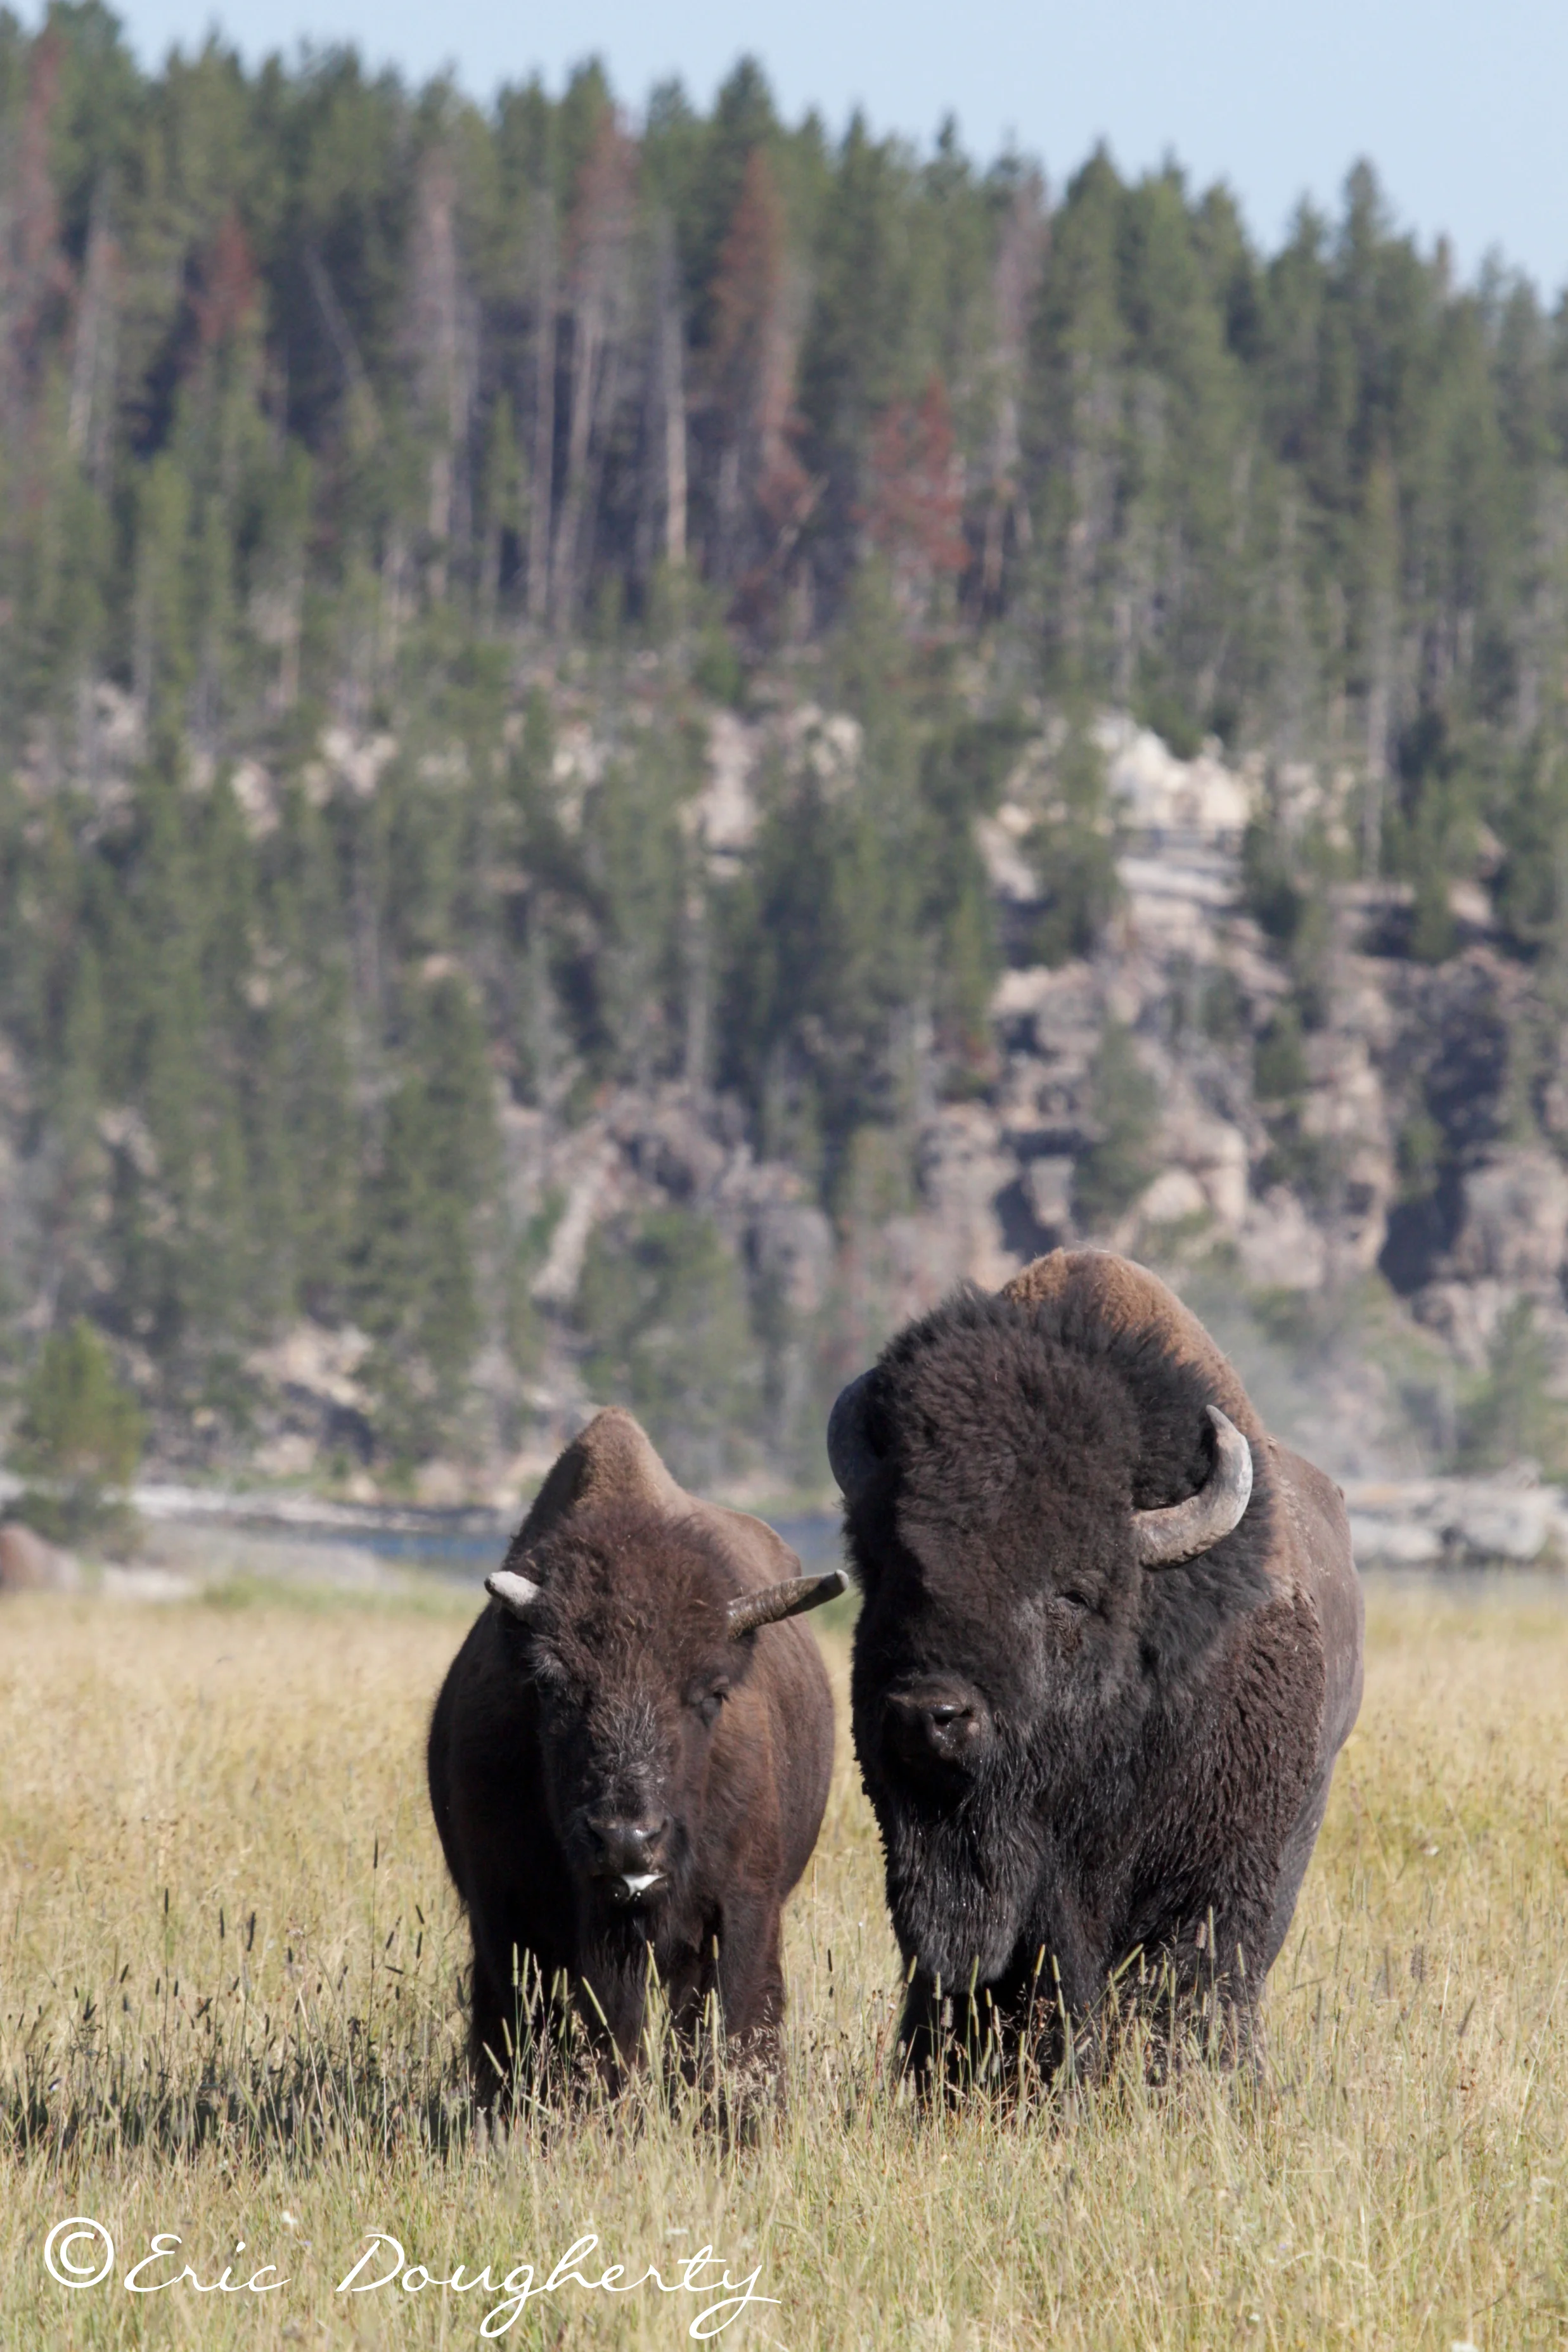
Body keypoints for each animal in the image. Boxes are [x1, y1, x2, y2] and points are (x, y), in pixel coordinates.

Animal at [428, 1407, 841, 2099]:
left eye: (712, 1691)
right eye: (549, 1685)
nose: (626, 1839)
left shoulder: (742, 1912)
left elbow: (735, 2025)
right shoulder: (507, 1918)